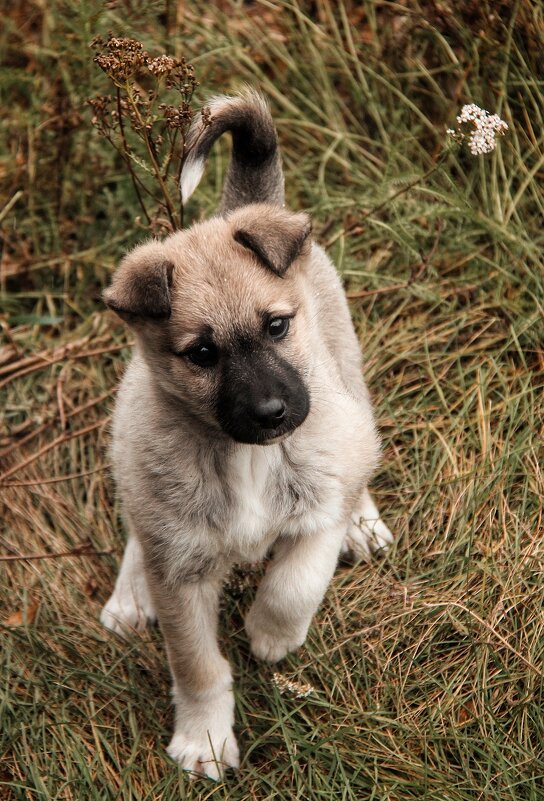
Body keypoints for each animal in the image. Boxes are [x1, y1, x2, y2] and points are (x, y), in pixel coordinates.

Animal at [100, 90, 394, 780]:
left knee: (359, 453)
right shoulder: (180, 574)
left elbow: (296, 581)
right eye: (202, 354)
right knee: (136, 528)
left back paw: (364, 522)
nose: (271, 413)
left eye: (277, 325)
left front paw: (271, 634)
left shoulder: (318, 504)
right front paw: (204, 739)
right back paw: (129, 593)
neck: (246, 459)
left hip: (346, 375)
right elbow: (197, 665)